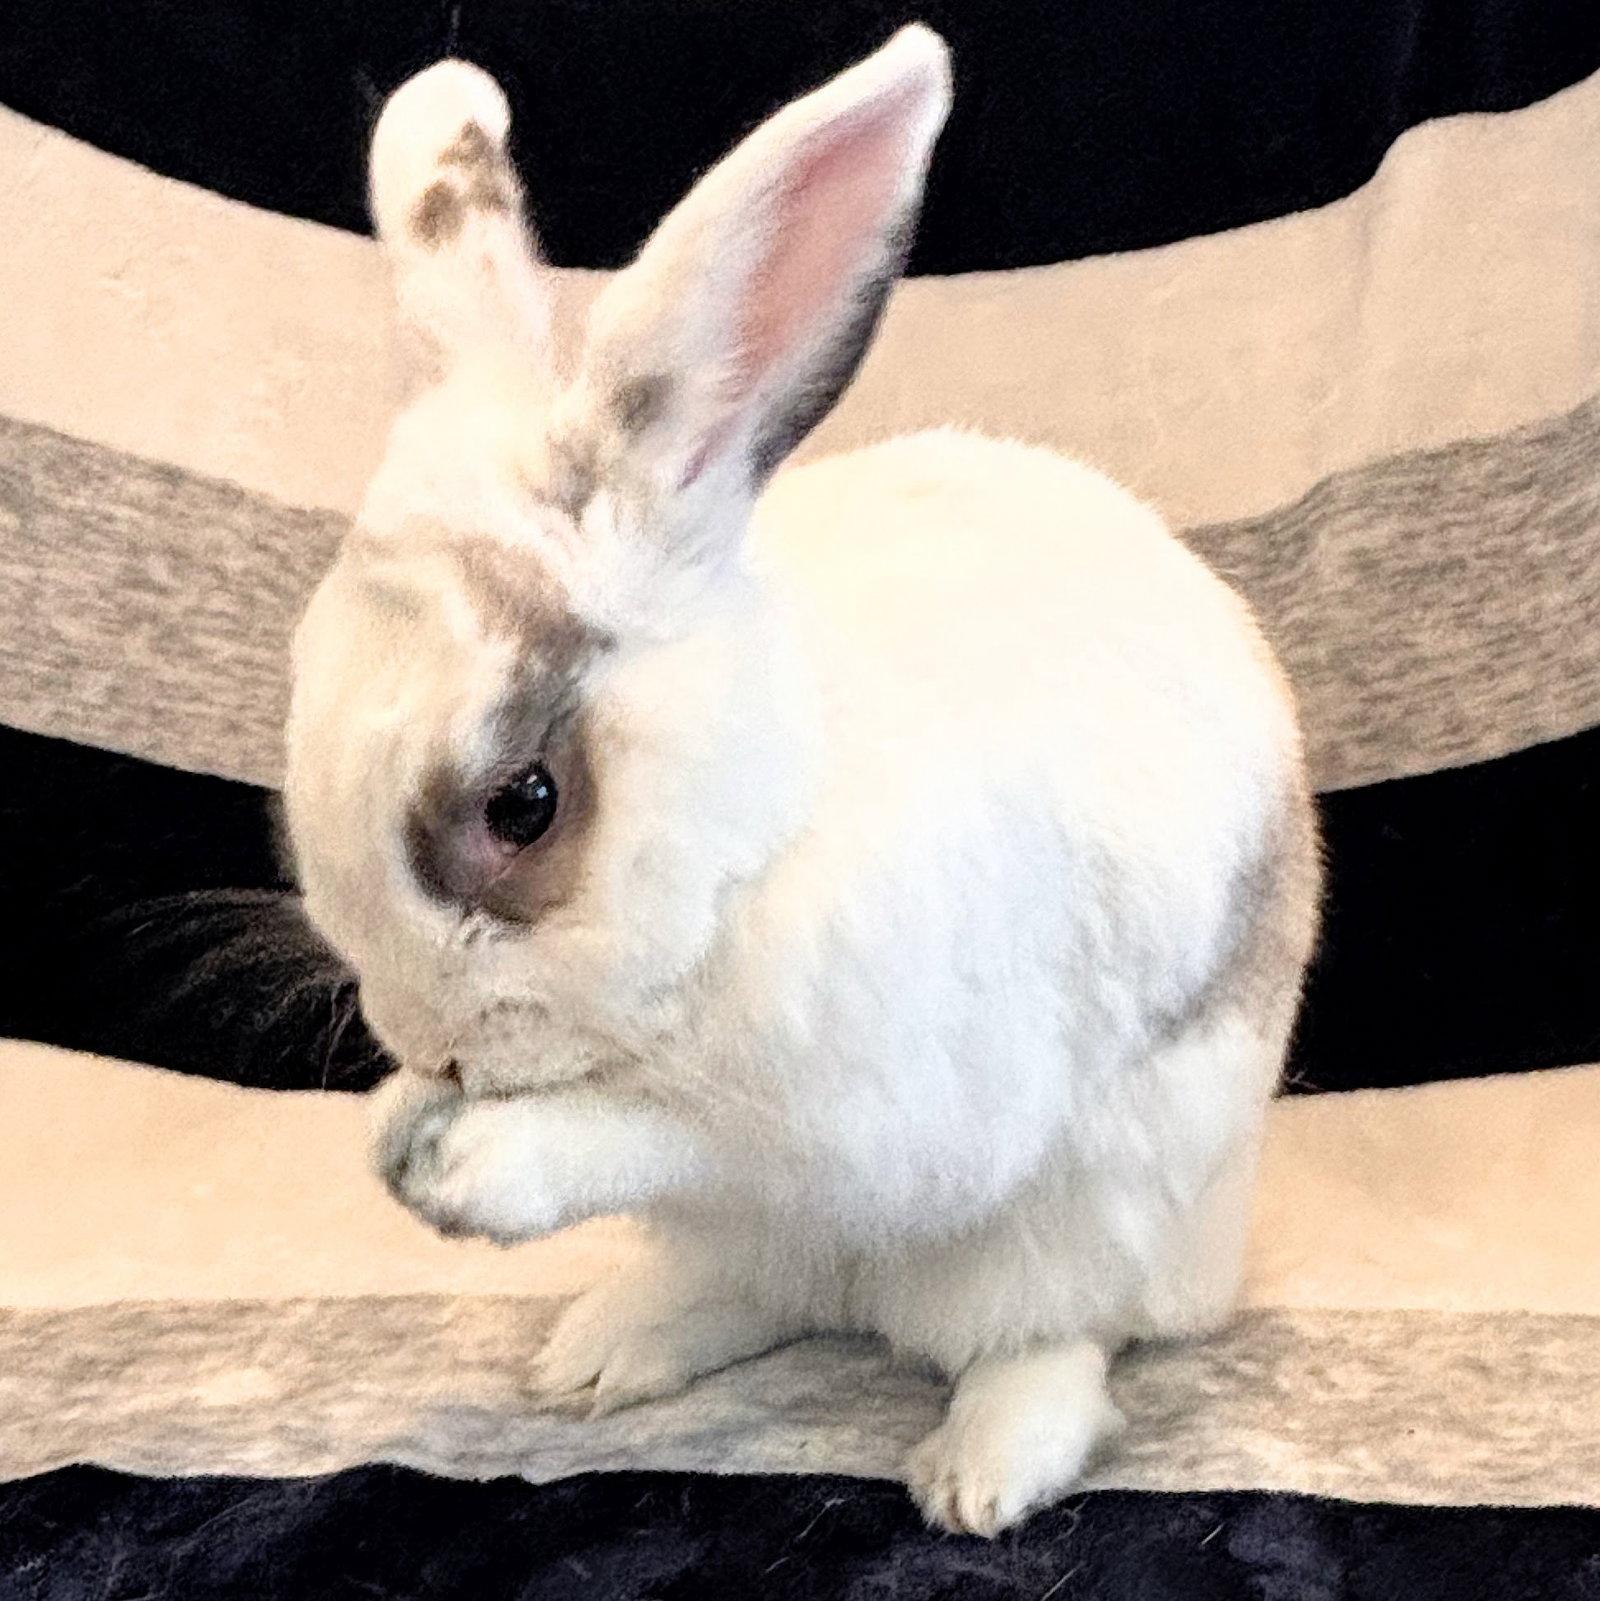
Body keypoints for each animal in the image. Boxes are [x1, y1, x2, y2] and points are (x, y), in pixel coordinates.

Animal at [282, 25, 1321, 1537]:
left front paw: (481, 1162)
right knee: (766, 1285)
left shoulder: (879, 1108)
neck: (754, 836)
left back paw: (980, 1471)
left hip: (1088, 1227)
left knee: (1053, 1338)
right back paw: (601, 1352)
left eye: (523, 803)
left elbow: (683, 1133)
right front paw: (395, 1126)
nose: (431, 1042)